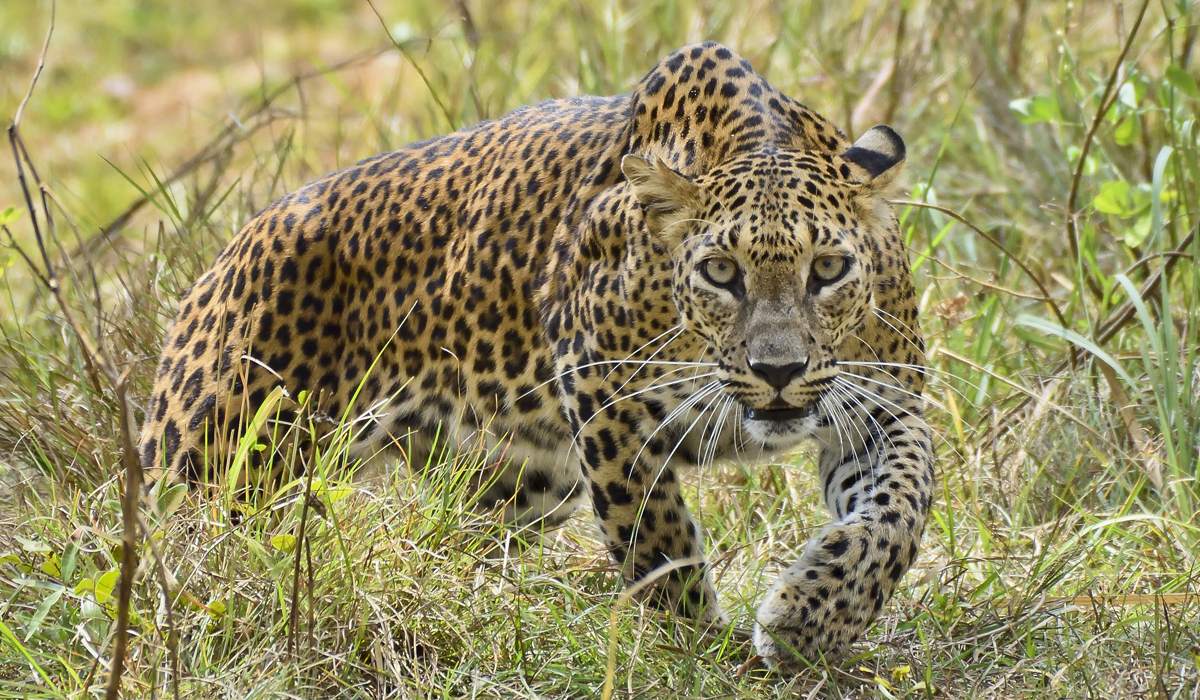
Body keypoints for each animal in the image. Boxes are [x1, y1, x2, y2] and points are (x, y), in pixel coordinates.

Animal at [136, 41, 931, 672]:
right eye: (720, 273)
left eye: (828, 270)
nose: (777, 372)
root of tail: (226, 253)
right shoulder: (607, 403)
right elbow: (657, 543)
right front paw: (705, 651)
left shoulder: (885, 405)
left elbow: (899, 511)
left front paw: (811, 619)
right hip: (216, 464)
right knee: (170, 557)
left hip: (517, 481)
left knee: (450, 538)